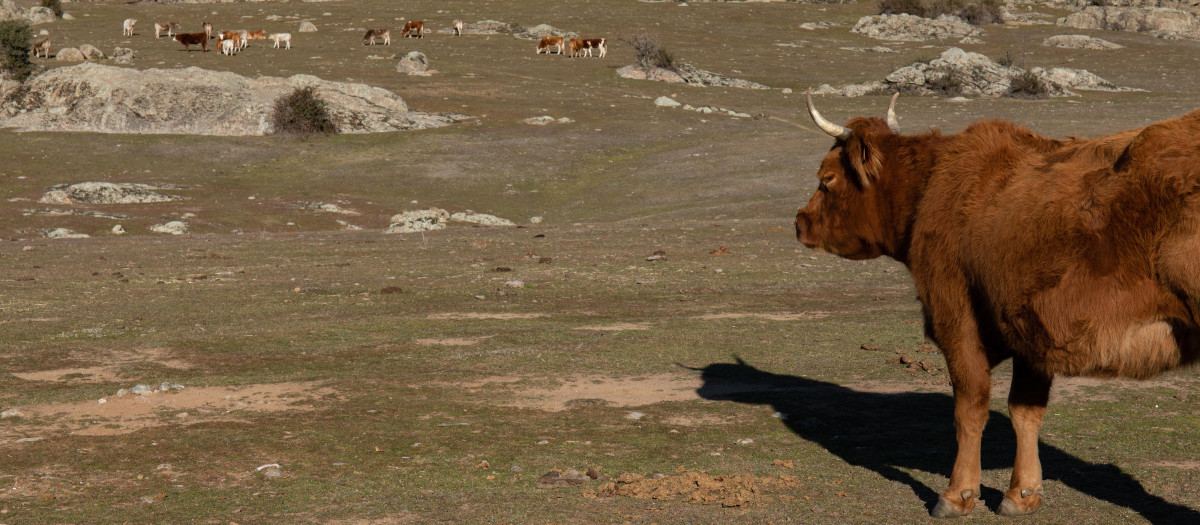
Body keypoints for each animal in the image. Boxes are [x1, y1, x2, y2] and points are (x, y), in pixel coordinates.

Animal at [795, 90, 1200, 517]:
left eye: (826, 178)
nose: (799, 221)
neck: (932, 189)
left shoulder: (956, 318)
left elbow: (970, 408)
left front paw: (957, 494)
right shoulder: (1031, 331)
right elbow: (1025, 412)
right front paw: (1022, 494)